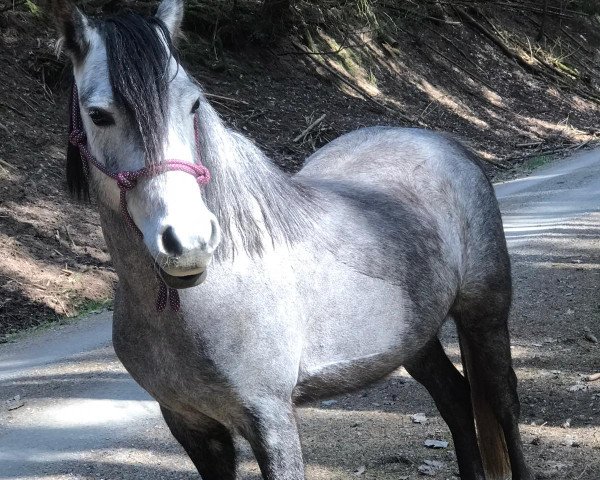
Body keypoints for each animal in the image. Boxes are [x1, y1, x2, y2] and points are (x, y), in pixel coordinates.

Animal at [50, 0, 528, 478]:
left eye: (193, 104)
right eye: (98, 115)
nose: (189, 243)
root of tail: (441, 142)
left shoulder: (271, 419)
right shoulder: (191, 425)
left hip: (484, 316)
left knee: (504, 405)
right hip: (413, 338)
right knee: (455, 399)